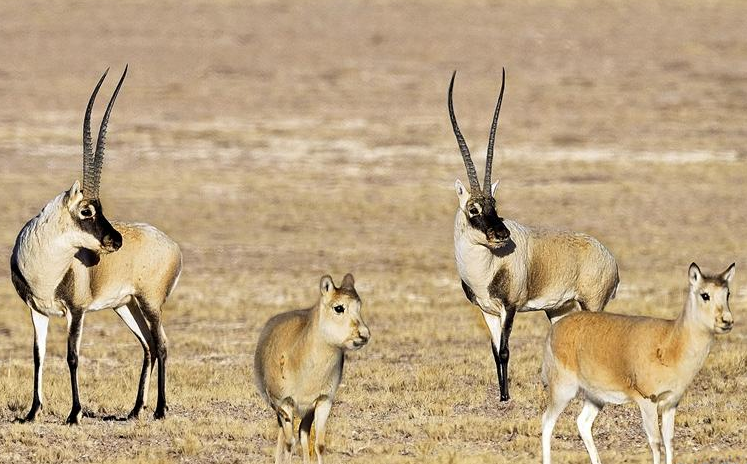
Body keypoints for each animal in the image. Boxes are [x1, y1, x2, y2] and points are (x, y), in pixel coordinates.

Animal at [10, 67, 182, 424]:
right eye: (87, 210)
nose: (115, 240)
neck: (45, 264)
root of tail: (173, 246)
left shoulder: (76, 311)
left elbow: (72, 356)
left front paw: (74, 413)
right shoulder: (36, 310)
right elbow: (38, 355)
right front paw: (32, 412)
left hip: (150, 303)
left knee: (161, 344)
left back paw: (160, 409)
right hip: (126, 306)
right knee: (147, 345)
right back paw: (135, 410)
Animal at [254, 274, 370, 464]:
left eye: (359, 307)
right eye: (339, 308)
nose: (364, 335)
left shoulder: (323, 401)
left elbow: (319, 444)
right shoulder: (285, 402)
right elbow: (289, 443)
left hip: (306, 412)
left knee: (303, 433)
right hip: (280, 409)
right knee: (285, 436)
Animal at [449, 69, 619, 402]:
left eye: (495, 204)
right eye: (474, 208)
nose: (501, 233)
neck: (486, 265)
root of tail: (608, 257)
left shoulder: (510, 307)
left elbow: (505, 350)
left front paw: (506, 398)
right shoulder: (487, 311)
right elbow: (494, 351)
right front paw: (501, 394)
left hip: (592, 303)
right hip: (559, 309)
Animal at [541, 263, 736, 464]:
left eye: (727, 293)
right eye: (705, 295)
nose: (727, 321)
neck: (671, 341)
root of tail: (555, 329)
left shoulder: (671, 403)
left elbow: (669, 441)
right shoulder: (648, 401)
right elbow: (656, 443)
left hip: (595, 397)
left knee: (583, 422)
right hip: (563, 390)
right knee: (547, 421)